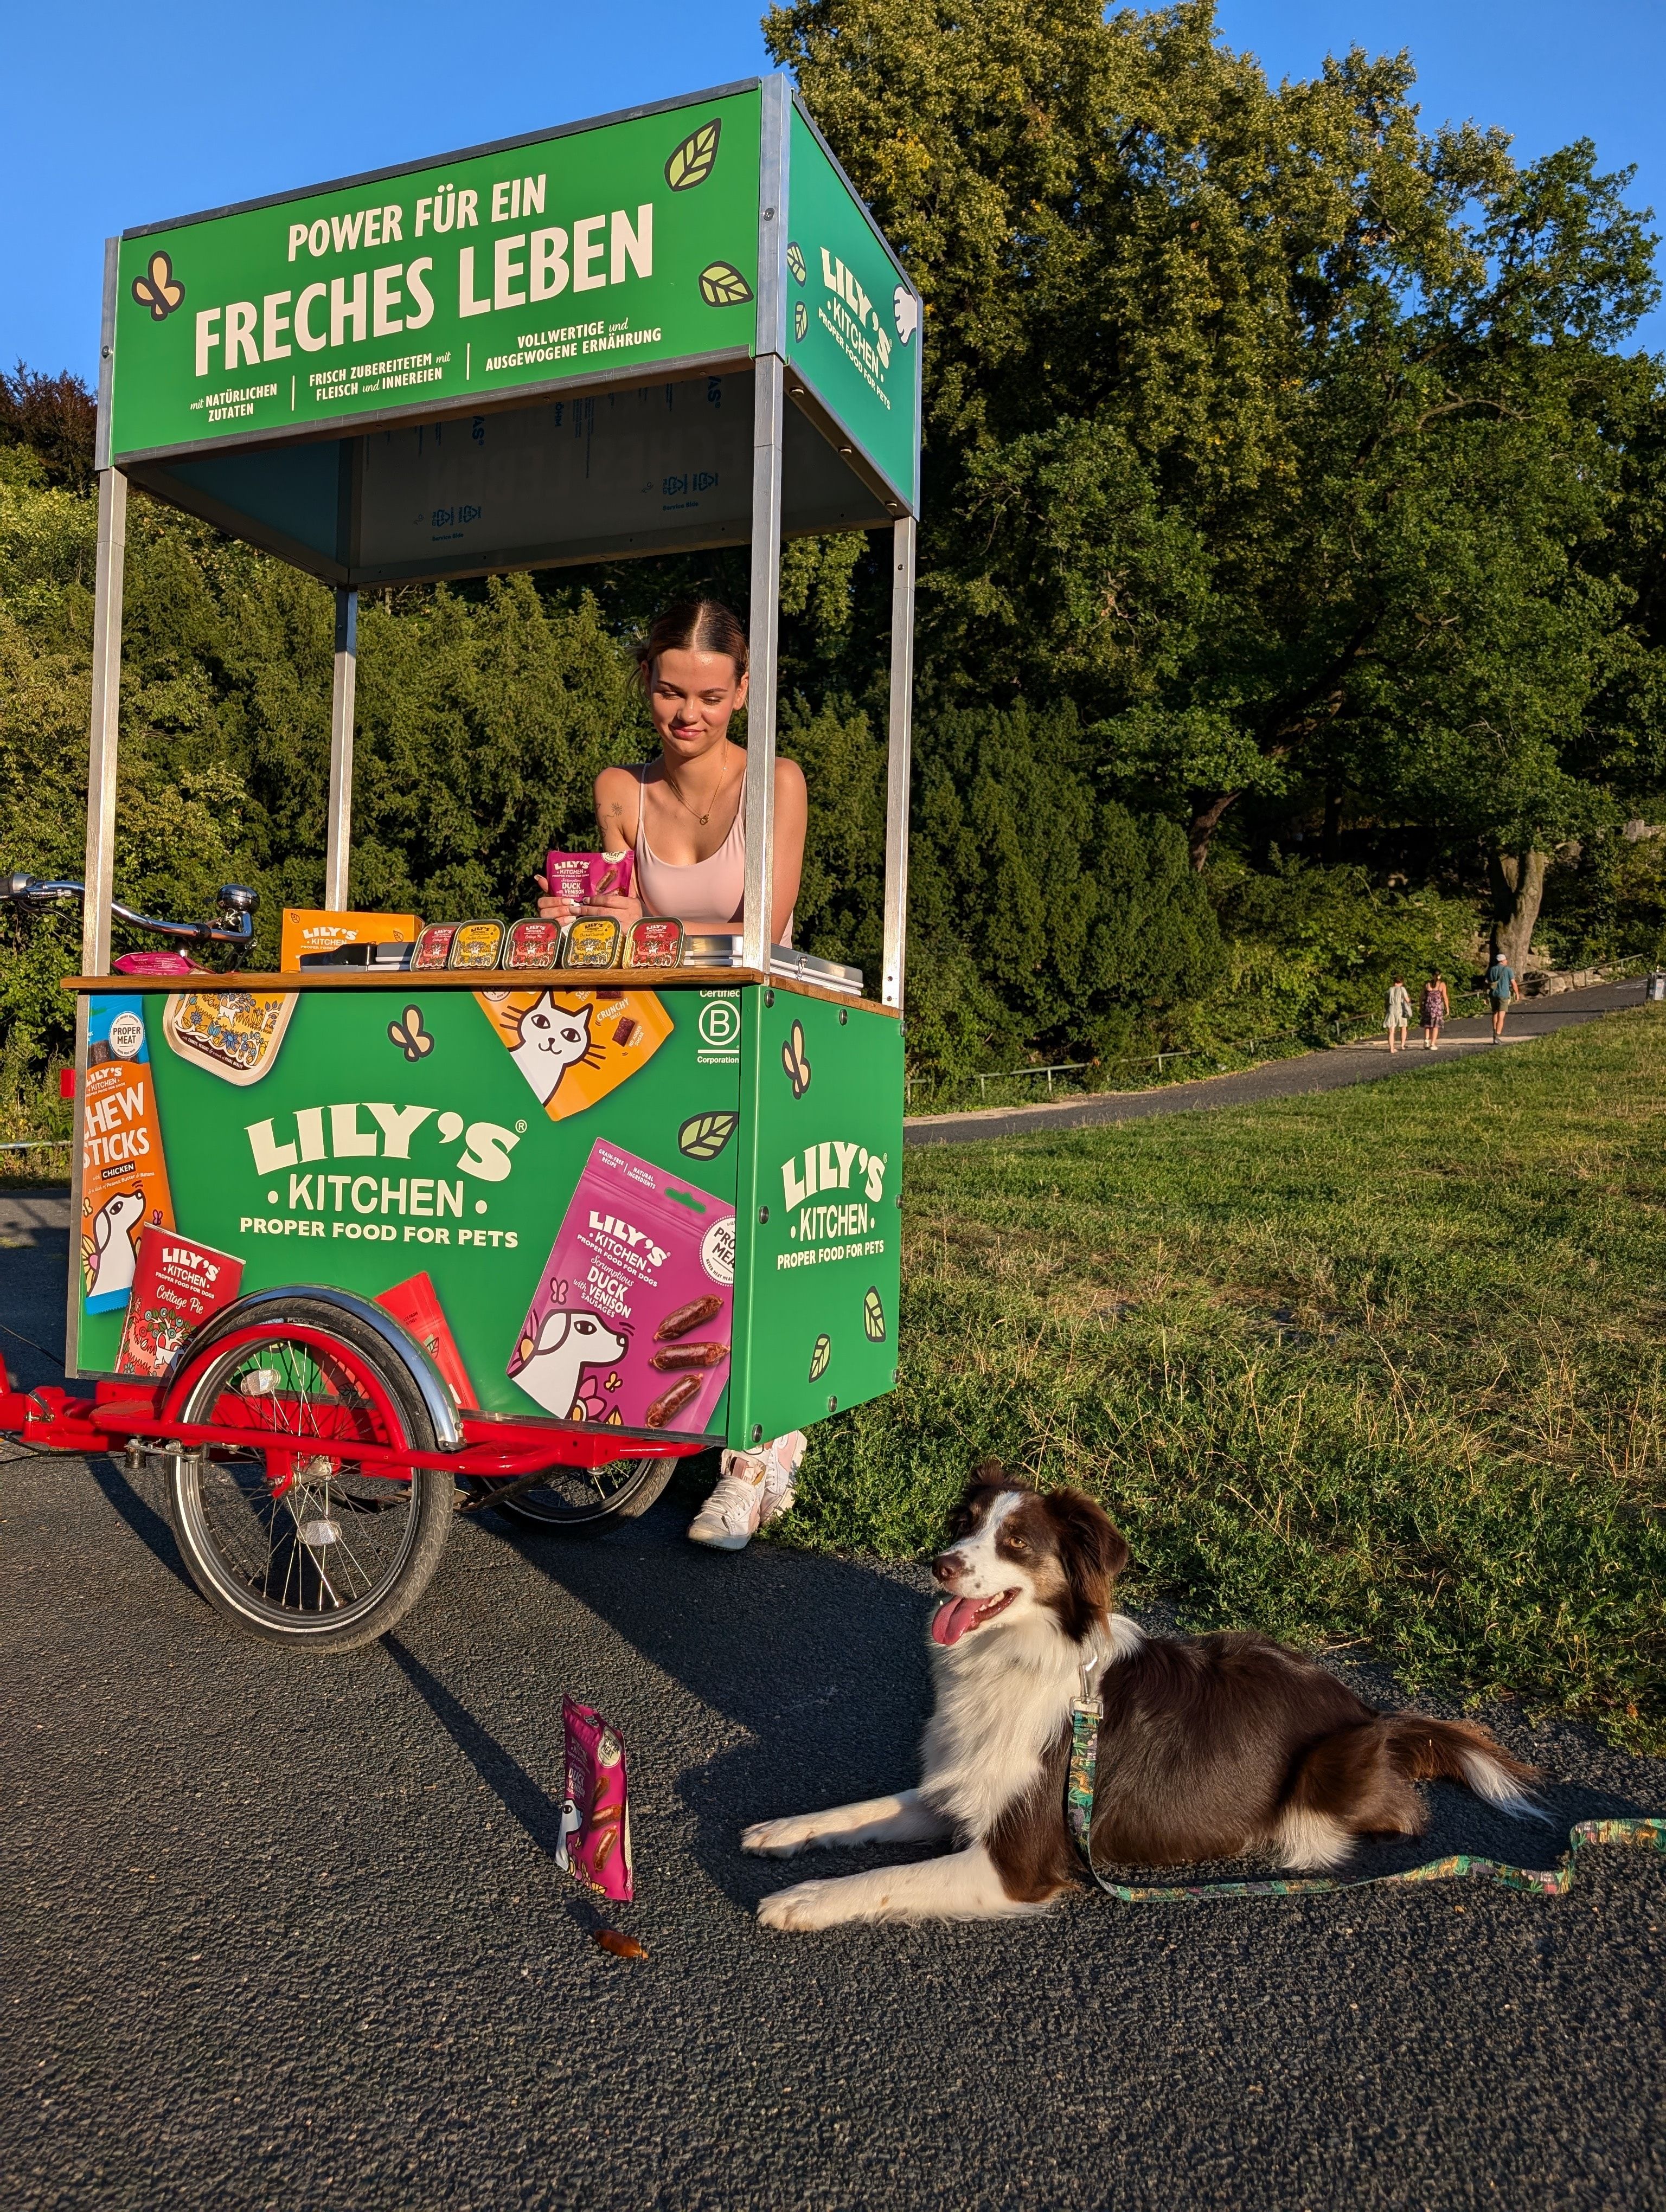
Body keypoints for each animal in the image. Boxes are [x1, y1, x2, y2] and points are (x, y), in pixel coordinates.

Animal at [739, 1469, 1531, 1938]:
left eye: (1016, 1541)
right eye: (964, 1524)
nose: (940, 1564)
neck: (1014, 1657)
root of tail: (1373, 1717)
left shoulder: (1017, 1863)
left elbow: (885, 1877)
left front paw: (803, 1899)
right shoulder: (959, 1787)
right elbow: (858, 1812)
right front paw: (782, 1830)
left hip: (1327, 1775)